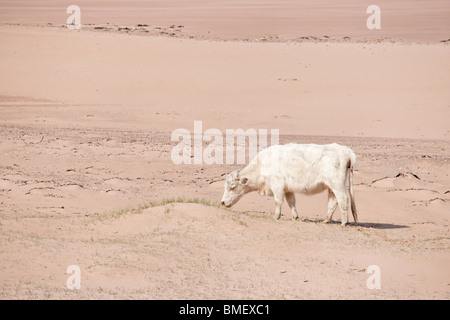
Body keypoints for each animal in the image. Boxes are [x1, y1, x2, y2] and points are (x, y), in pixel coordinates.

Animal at [221, 142, 358, 225]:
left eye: (232, 187)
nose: (222, 202)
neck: (262, 166)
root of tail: (344, 150)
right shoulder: (288, 189)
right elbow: (291, 202)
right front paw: (295, 217)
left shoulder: (277, 186)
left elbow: (278, 202)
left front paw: (276, 216)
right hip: (330, 187)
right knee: (333, 202)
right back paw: (326, 220)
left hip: (337, 185)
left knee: (343, 199)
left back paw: (344, 222)